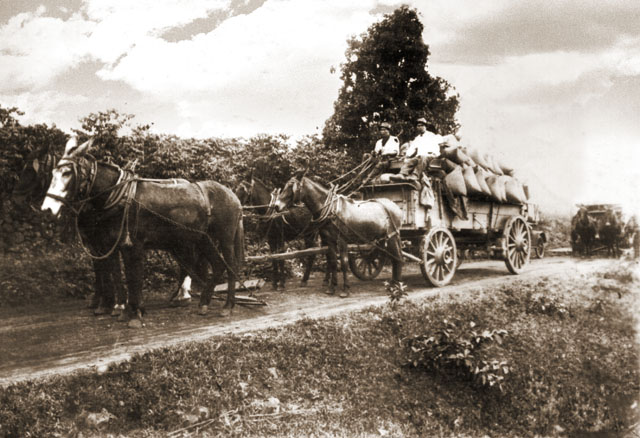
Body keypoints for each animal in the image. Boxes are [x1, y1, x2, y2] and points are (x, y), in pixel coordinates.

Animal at [42, 139, 242, 326]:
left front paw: (134, 314)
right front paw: (126, 310)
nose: (47, 209)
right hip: (202, 239)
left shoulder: (132, 245)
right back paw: (203, 303)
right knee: (217, 265)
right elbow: (124, 275)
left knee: (231, 266)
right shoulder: (116, 245)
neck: (122, 197)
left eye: (67, 173)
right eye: (52, 173)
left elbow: (133, 277)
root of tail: (232, 194)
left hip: (225, 237)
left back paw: (227, 306)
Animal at [272, 176, 402, 296]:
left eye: (290, 188)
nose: (276, 206)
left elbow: (344, 263)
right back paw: (394, 283)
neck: (331, 210)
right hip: (381, 240)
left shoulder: (342, 240)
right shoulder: (330, 241)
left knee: (397, 257)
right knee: (392, 257)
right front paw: (332, 287)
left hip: (391, 237)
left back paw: (397, 285)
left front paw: (345, 289)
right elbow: (333, 262)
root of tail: (394, 206)